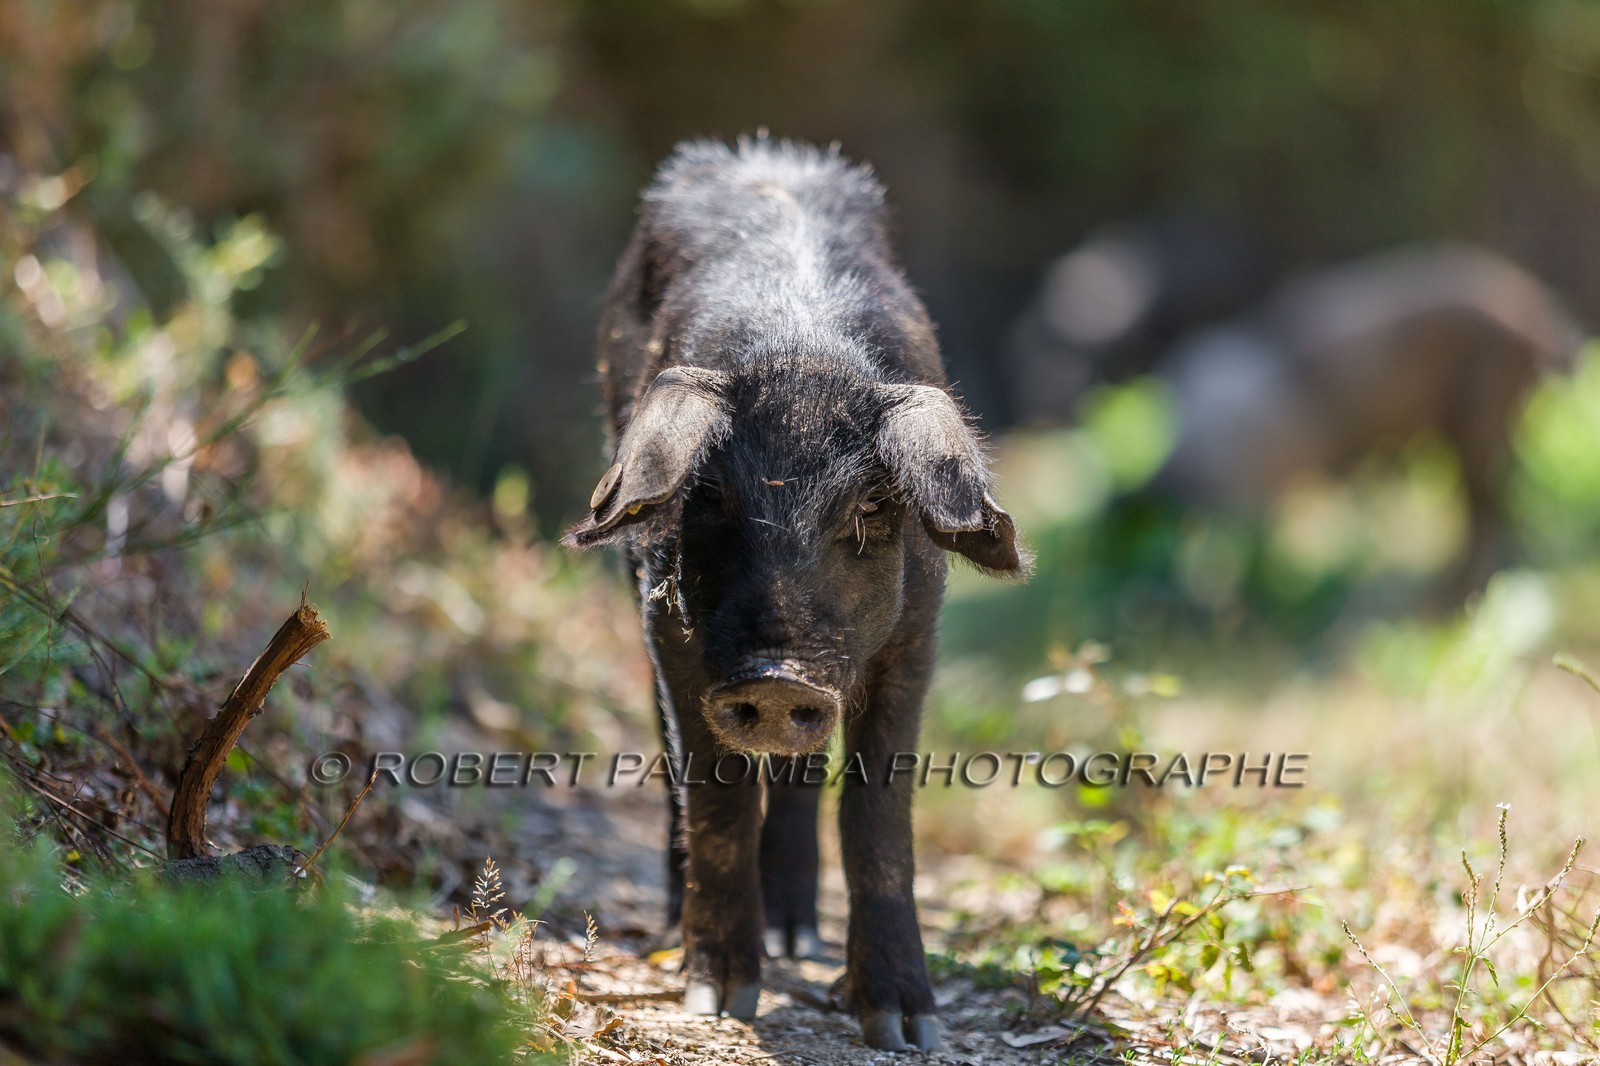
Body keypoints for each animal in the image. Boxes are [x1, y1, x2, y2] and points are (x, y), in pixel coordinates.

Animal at [563, 137, 1026, 1051]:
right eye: (709, 496)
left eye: (872, 507)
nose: (777, 680)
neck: (803, 356)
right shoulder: (671, 631)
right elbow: (714, 791)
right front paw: (720, 997)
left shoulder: (915, 637)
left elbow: (878, 813)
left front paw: (904, 1027)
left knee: (807, 772)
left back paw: (795, 938)